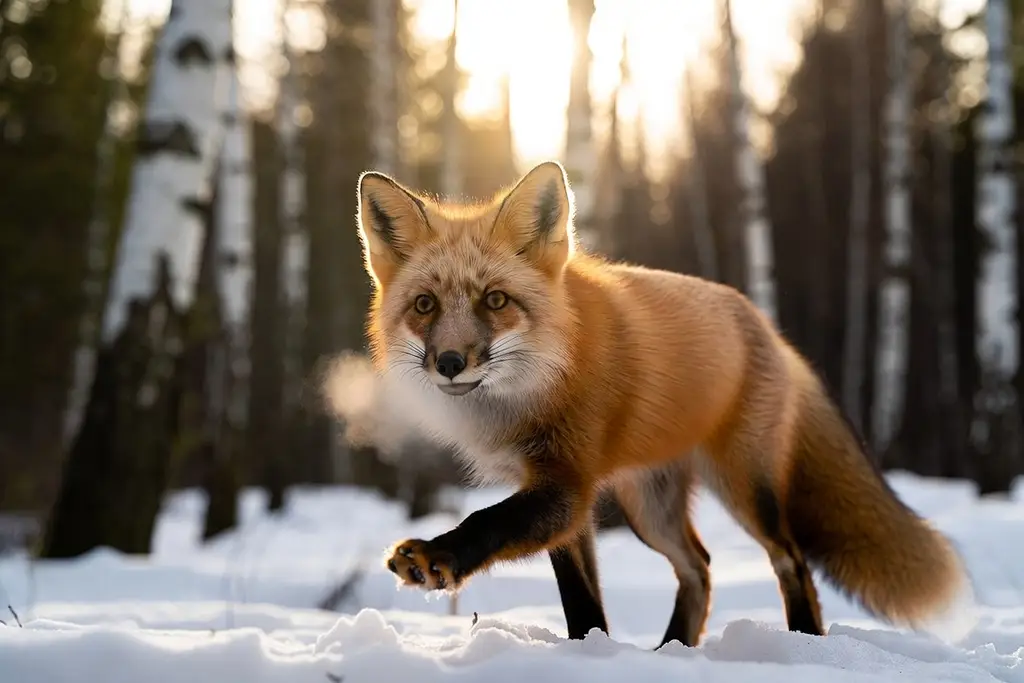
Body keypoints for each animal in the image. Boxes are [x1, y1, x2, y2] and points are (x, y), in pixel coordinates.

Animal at [352, 159, 975, 647]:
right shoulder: (565, 499)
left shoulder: (566, 485)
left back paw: (804, 640)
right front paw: (591, 652)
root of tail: (766, 327)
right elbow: (581, 599)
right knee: (700, 568)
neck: (539, 383)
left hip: (745, 489)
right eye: (426, 305)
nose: (450, 362)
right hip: (648, 508)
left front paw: (437, 556)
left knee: (790, 559)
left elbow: (488, 520)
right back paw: (672, 649)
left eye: (496, 301)